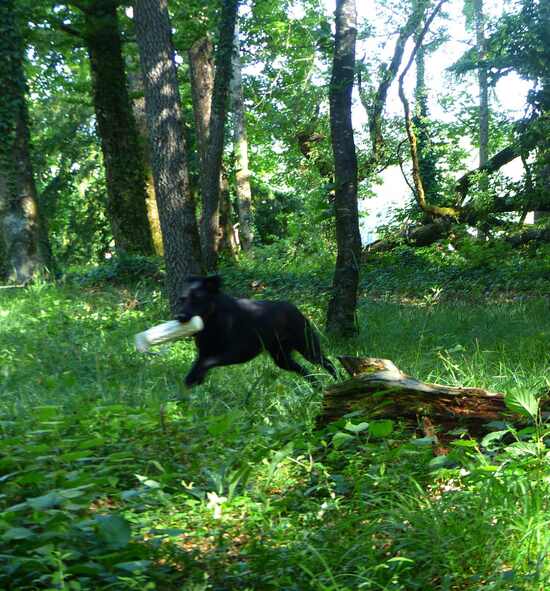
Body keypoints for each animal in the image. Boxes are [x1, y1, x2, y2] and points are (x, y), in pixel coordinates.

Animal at [175, 274, 338, 386]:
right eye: (182, 299)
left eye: (197, 299)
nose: (179, 316)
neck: (212, 321)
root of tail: (294, 308)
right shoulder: (204, 353)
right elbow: (198, 365)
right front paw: (191, 382)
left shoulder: (238, 353)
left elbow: (207, 362)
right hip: (282, 358)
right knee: (306, 372)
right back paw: (318, 387)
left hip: (307, 347)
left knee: (328, 363)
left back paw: (337, 380)